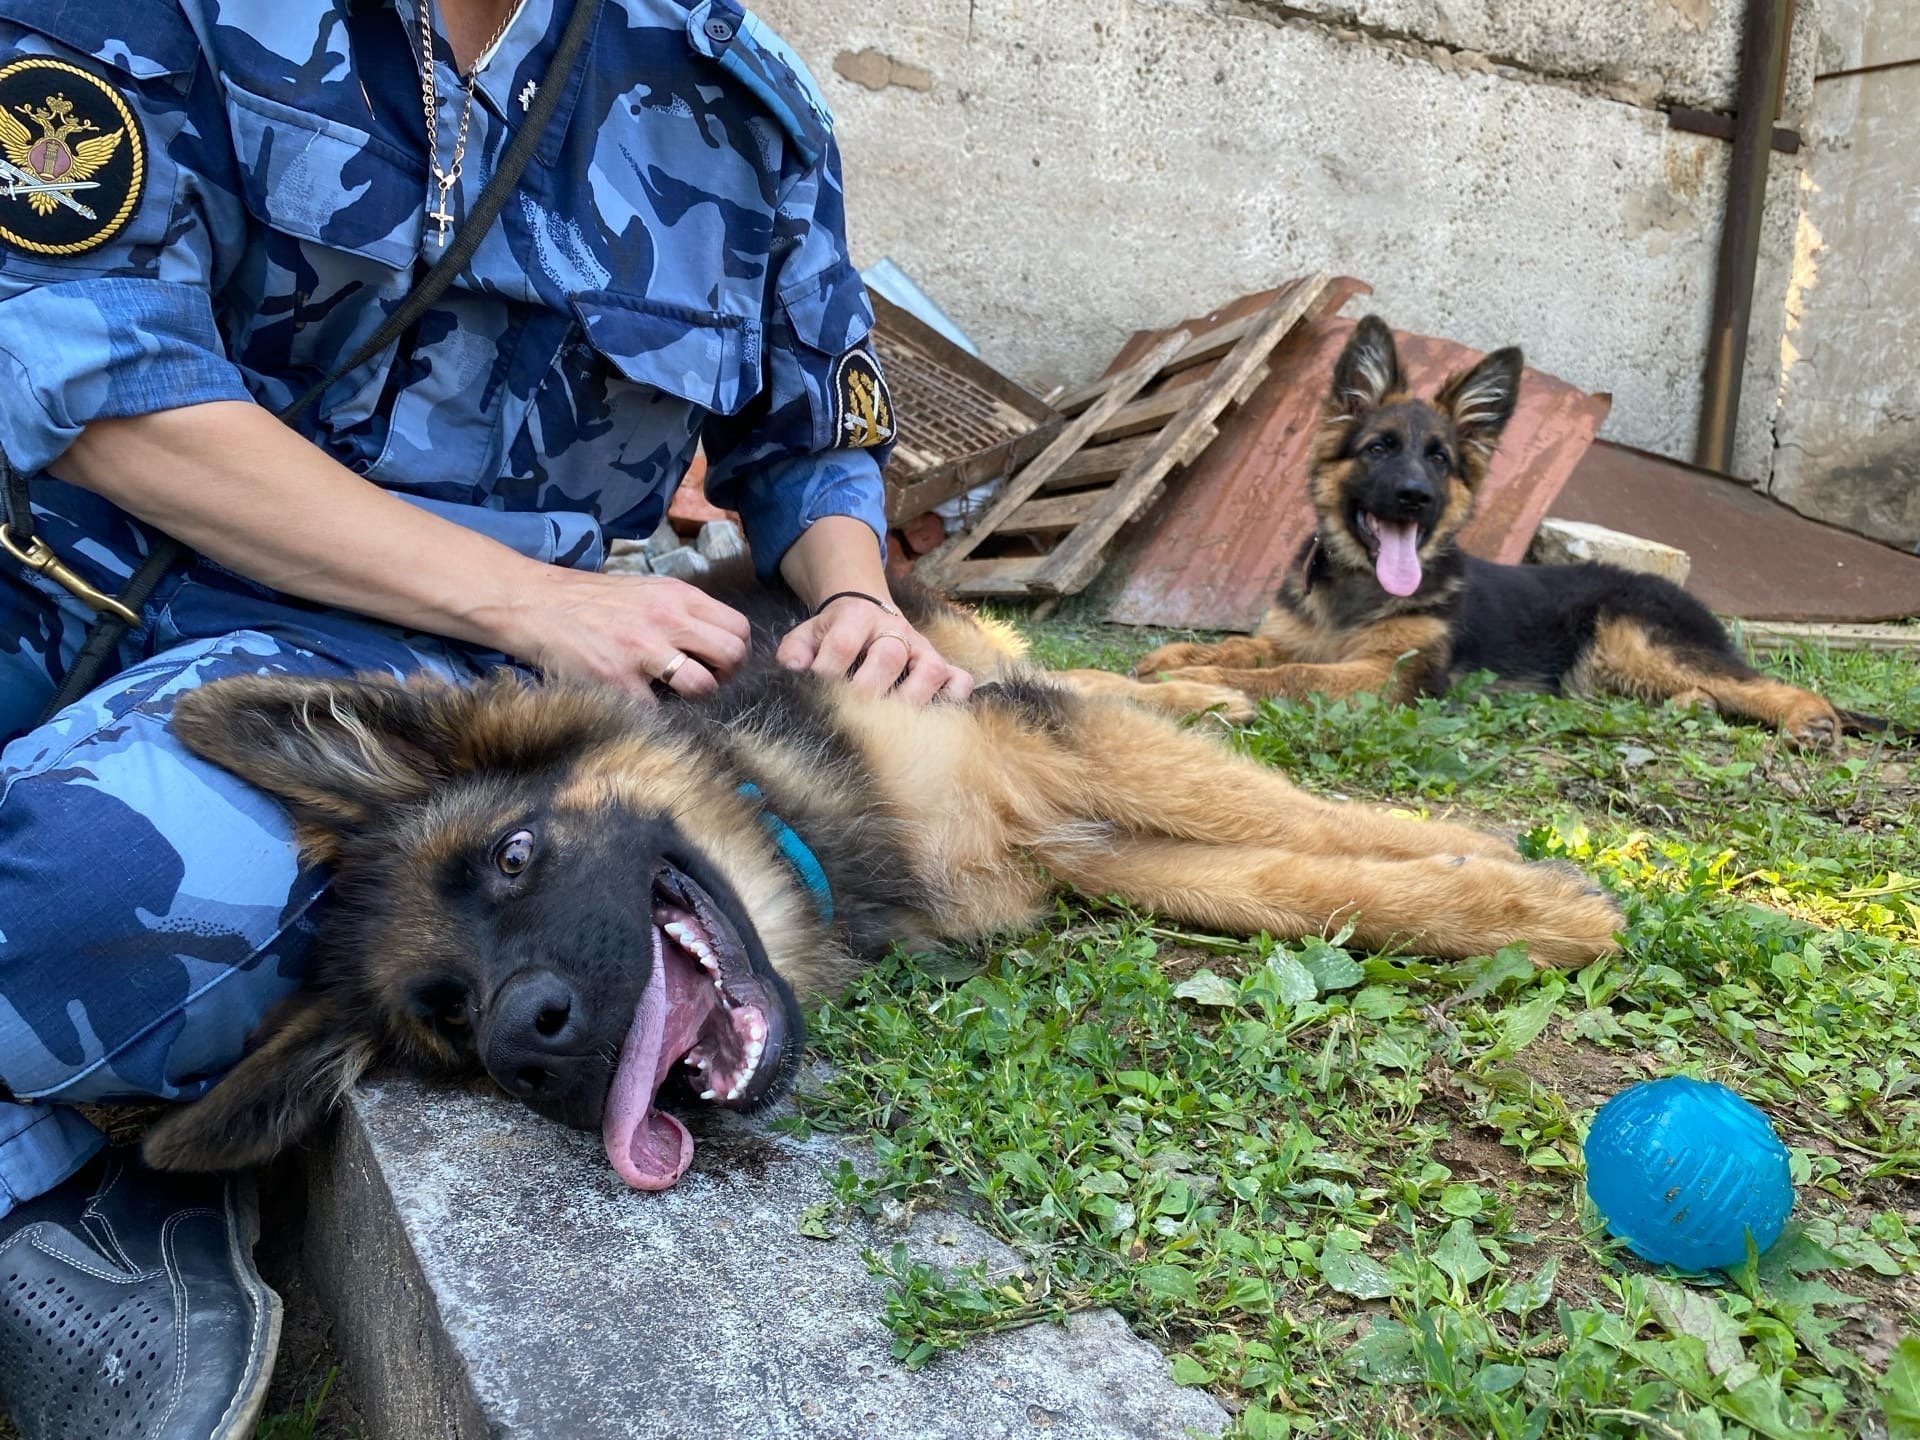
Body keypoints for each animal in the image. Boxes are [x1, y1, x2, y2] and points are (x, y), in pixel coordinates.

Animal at [139, 576, 1620, 1198]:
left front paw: (1520, 880)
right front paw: (1503, 897)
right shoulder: (1071, 840)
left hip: (970, 661)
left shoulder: (1022, 748)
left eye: (512, 857)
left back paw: (1209, 688)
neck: (788, 817)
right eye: (447, 1024)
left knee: (1076, 675)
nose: (527, 1044)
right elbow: (1270, 880)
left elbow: (1285, 818)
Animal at [1128, 314, 1866, 744]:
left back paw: (1809, 721)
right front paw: (1178, 658)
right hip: (1611, 671)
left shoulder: (1385, 678)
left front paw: (1194, 682)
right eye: (1379, 448)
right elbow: (1246, 647)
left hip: (1638, 641)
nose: (1416, 497)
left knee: (1772, 686)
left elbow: (1287, 675)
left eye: (1440, 459)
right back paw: (1694, 709)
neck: (1357, 591)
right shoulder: (1293, 636)